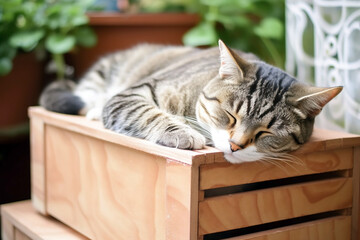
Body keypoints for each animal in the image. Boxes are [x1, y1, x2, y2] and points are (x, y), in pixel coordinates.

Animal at [40, 40, 344, 164]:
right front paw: (181, 133)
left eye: (266, 133)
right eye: (230, 116)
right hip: (106, 72)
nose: (235, 146)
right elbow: (147, 113)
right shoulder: (132, 93)